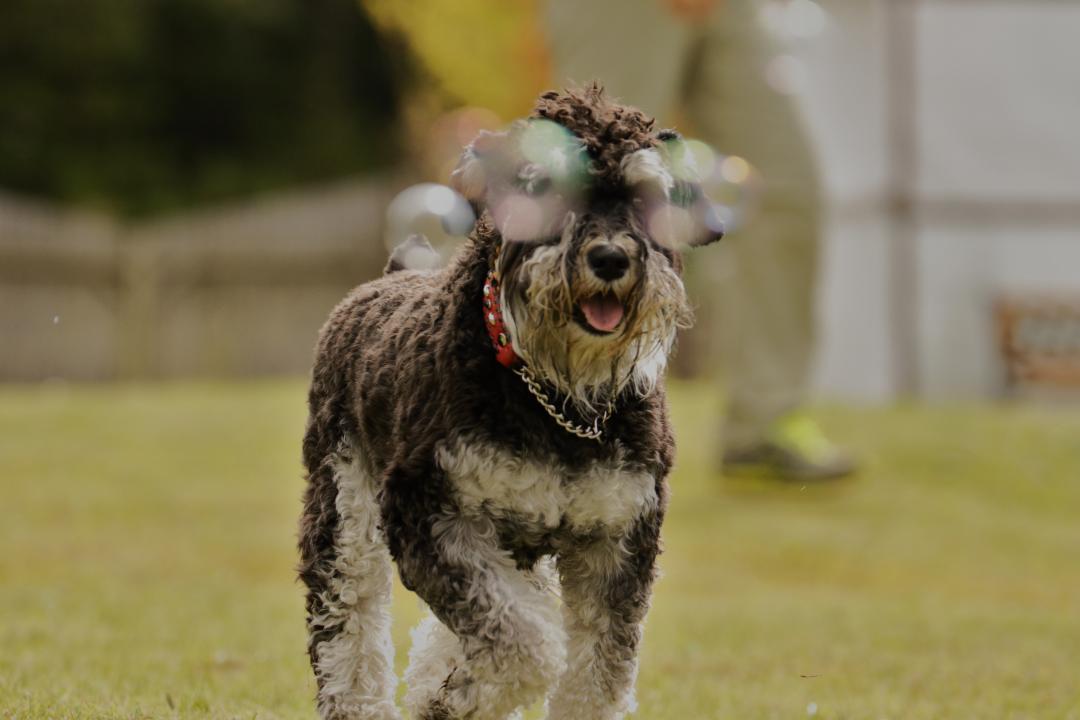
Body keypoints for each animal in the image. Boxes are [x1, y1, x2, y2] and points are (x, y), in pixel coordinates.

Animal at [298, 85, 717, 720]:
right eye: (546, 188)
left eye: (646, 198)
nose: (611, 258)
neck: (557, 398)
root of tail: (386, 279)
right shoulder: (427, 508)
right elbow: (522, 646)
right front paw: (450, 700)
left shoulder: (617, 536)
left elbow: (594, 674)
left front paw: (446, 690)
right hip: (344, 505)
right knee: (348, 617)